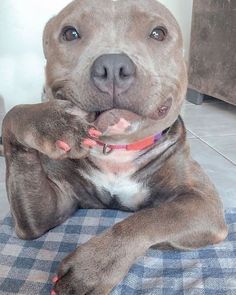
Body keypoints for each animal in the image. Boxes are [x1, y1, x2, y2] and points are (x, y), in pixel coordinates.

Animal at [1, 0, 227, 295]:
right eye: (70, 33)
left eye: (158, 33)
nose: (112, 66)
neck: (117, 151)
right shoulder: (42, 217)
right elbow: (13, 113)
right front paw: (53, 122)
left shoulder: (205, 204)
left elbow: (152, 217)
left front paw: (92, 269)